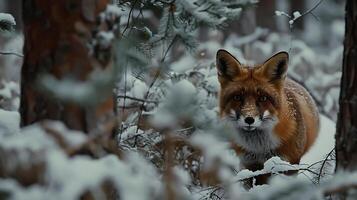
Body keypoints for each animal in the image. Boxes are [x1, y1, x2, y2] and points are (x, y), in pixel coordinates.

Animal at [216, 49, 318, 185]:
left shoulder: (289, 164)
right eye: (237, 97)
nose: (249, 119)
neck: (261, 148)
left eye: (263, 98)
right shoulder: (250, 164)